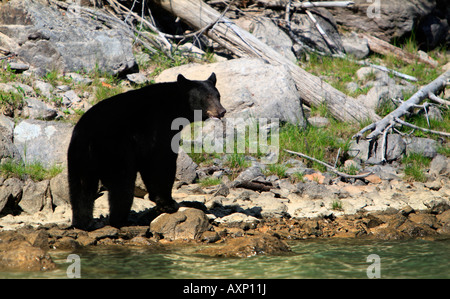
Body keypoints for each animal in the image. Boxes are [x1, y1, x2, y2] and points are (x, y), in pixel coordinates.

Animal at [67, 74, 225, 231]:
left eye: (218, 95)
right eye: (207, 97)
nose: (222, 111)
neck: (175, 105)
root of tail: (89, 137)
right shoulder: (158, 127)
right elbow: (161, 161)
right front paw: (169, 204)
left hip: (79, 158)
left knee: (81, 190)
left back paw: (83, 223)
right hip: (115, 151)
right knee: (122, 185)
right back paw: (122, 221)